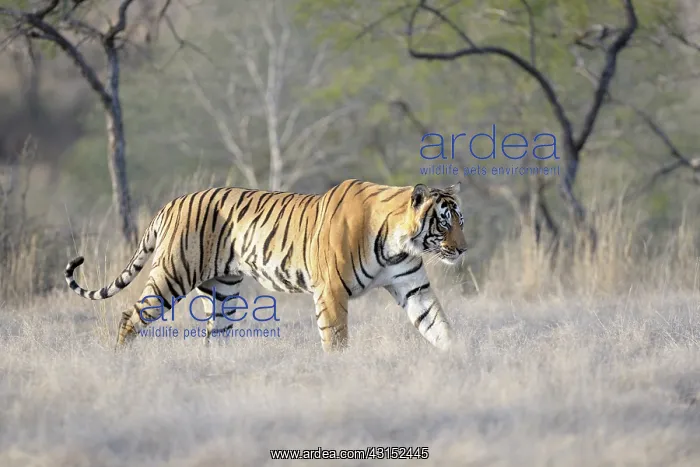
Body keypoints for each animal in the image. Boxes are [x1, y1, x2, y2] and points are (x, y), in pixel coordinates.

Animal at [64, 179, 468, 352]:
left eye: (461, 221)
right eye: (445, 223)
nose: (464, 249)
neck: (398, 242)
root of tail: (172, 202)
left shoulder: (413, 287)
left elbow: (438, 326)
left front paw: (461, 363)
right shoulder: (331, 292)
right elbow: (336, 339)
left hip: (224, 292)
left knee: (214, 335)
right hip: (172, 275)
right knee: (130, 315)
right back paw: (121, 360)